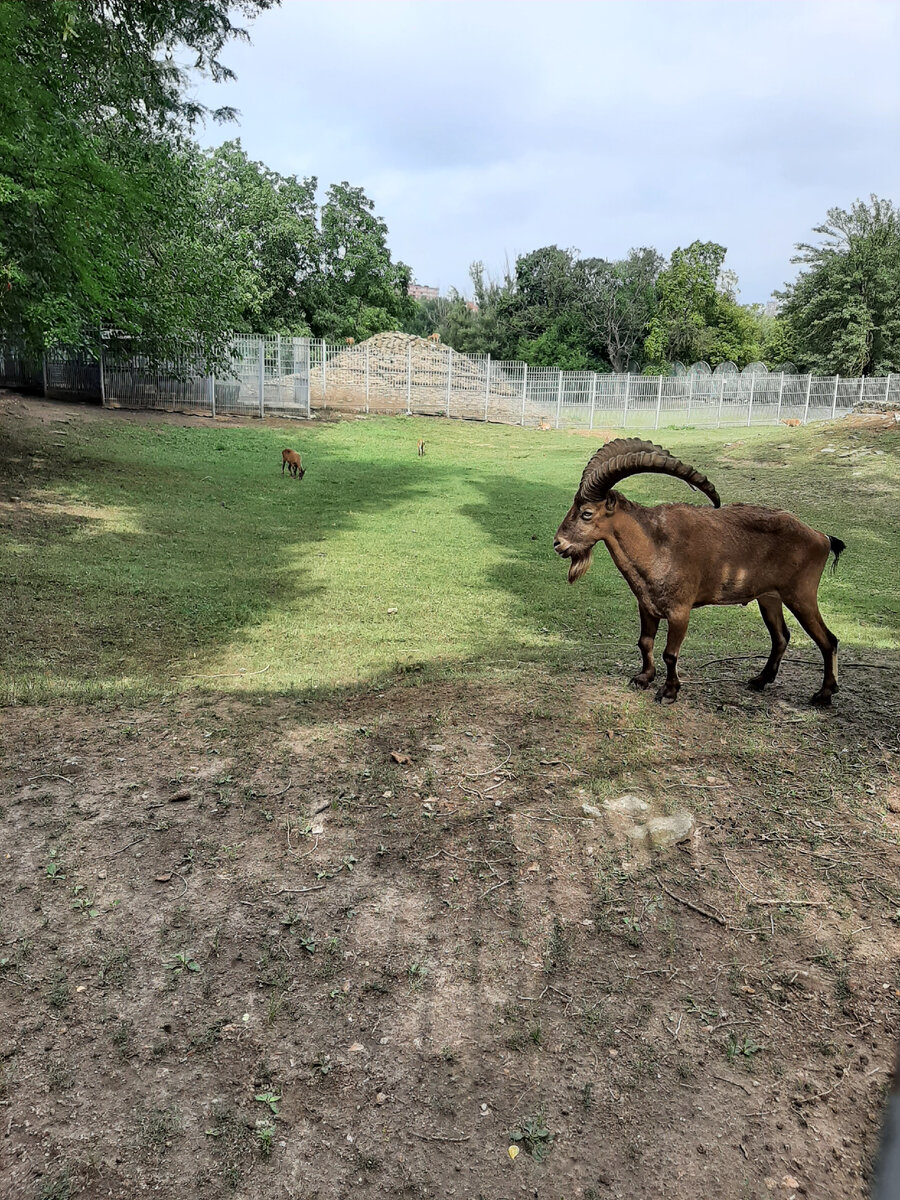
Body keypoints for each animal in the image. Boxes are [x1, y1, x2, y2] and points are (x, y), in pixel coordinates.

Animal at [554, 439, 849, 700]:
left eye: (587, 513)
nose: (559, 543)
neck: (655, 545)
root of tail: (822, 537)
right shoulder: (646, 606)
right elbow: (645, 642)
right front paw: (643, 678)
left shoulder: (679, 611)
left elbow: (670, 653)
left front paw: (669, 692)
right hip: (769, 598)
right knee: (781, 637)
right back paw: (760, 680)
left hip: (801, 596)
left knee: (828, 640)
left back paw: (824, 694)